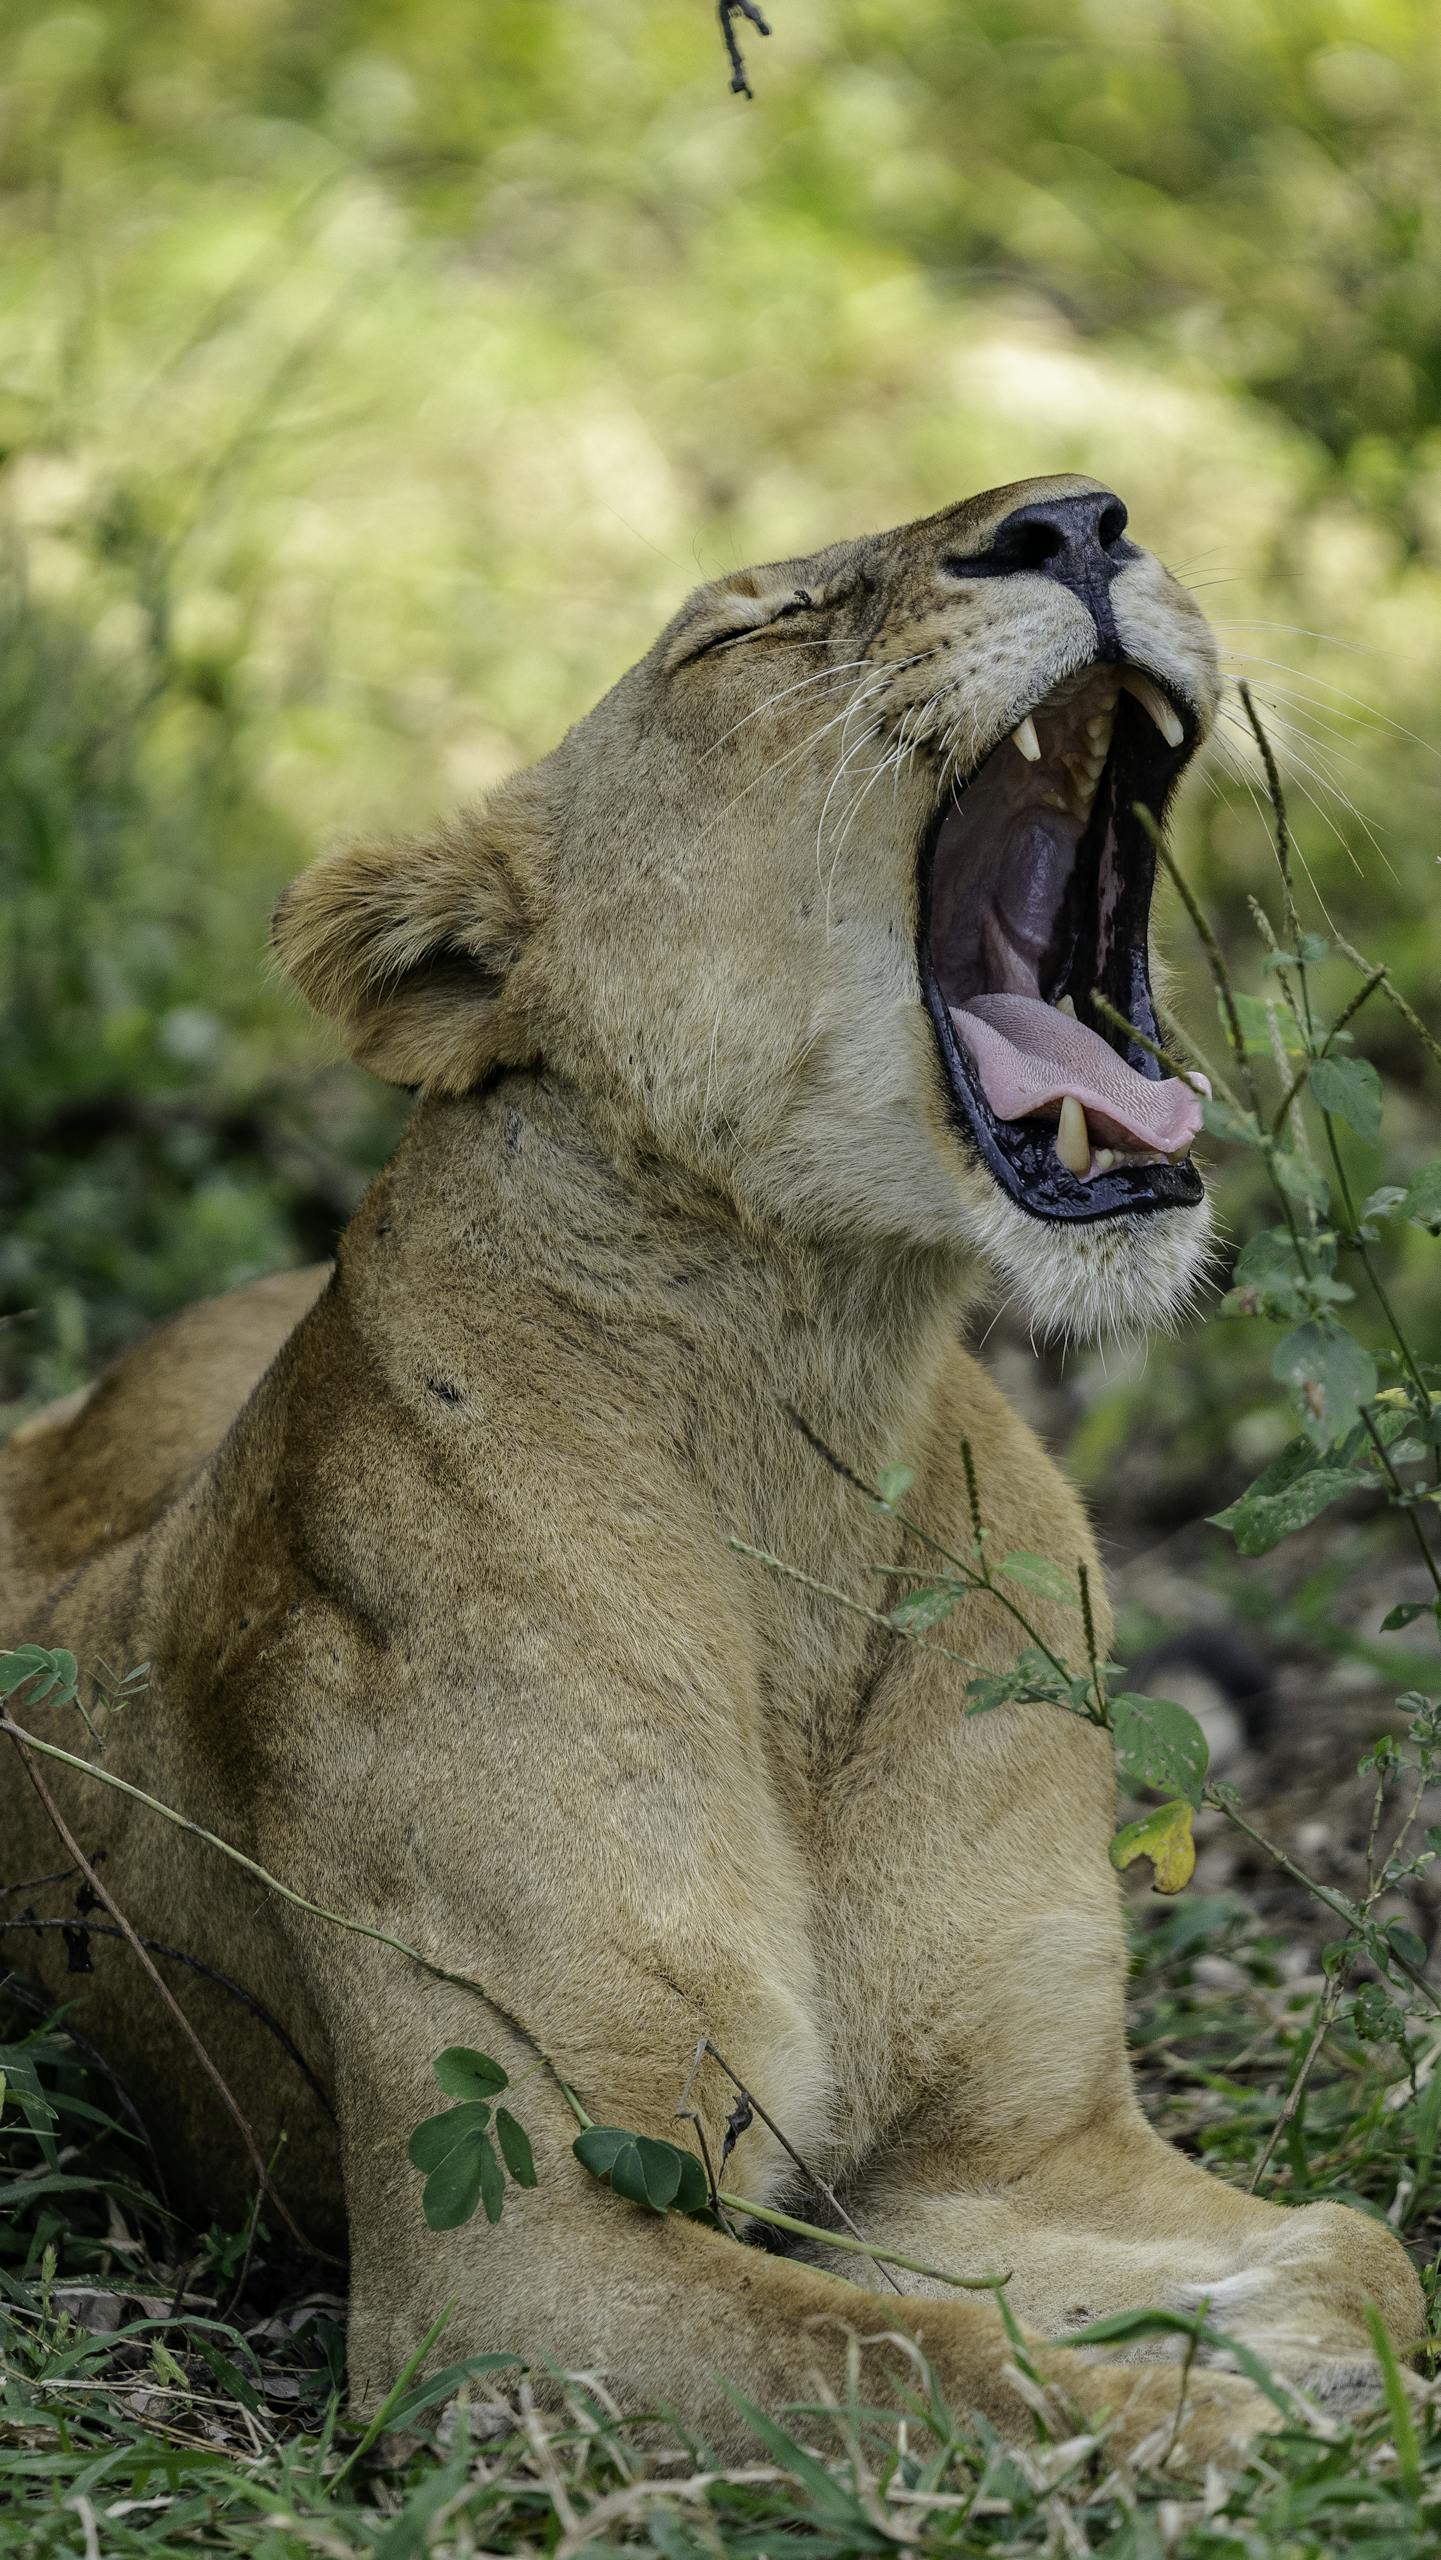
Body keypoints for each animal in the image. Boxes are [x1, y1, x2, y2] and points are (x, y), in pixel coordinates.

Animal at [1, 476, 1422, 2469]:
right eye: (746, 632)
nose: (1079, 515)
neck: (808, 1407)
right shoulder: (513, 2262)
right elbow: (925, 2366)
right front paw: (1239, 2419)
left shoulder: (993, 2154)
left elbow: (1363, 2253)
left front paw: (1291, 2336)